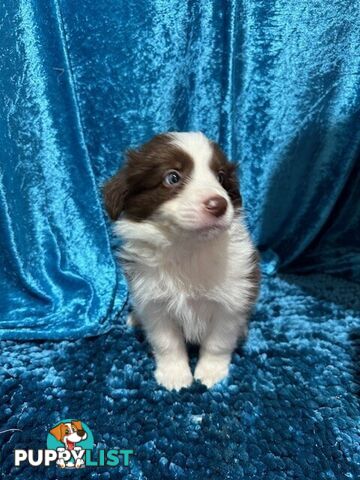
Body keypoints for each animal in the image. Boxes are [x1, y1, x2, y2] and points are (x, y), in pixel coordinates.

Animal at [103, 131, 258, 390]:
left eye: (220, 177)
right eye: (173, 177)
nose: (219, 204)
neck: (187, 247)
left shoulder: (231, 301)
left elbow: (218, 342)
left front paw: (211, 373)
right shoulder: (154, 302)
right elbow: (167, 342)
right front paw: (174, 375)